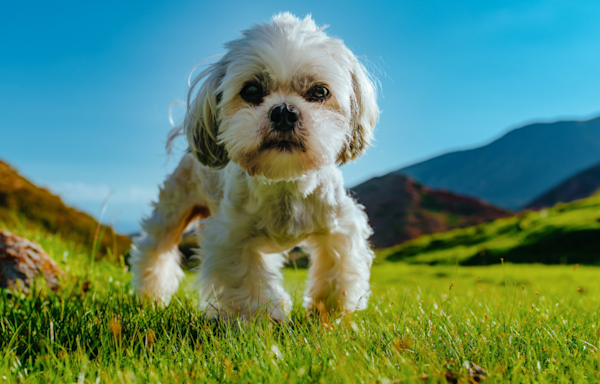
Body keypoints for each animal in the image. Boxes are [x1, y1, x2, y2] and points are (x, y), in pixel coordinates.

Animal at [130, 12, 380, 320]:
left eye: (320, 91)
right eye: (250, 90)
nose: (284, 111)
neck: (284, 182)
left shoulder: (340, 225)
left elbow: (338, 267)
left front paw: (330, 311)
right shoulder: (231, 237)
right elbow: (245, 279)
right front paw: (262, 317)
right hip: (172, 210)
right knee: (154, 248)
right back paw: (150, 296)